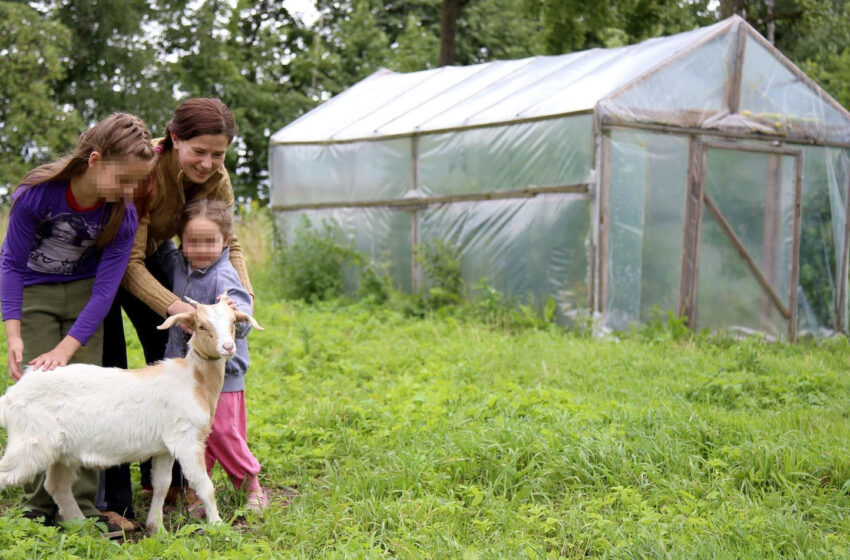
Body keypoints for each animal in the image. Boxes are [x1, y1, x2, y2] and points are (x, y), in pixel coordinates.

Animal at [0, 296, 262, 532]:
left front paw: (157, 528)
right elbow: (205, 485)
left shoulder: (165, 447)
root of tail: (11, 396)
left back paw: (83, 527)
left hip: (62, 452)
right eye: (201, 326)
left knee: (57, 485)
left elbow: (162, 484)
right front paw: (218, 527)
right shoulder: (187, 440)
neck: (194, 380)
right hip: (31, 444)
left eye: (233, 323)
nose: (228, 347)